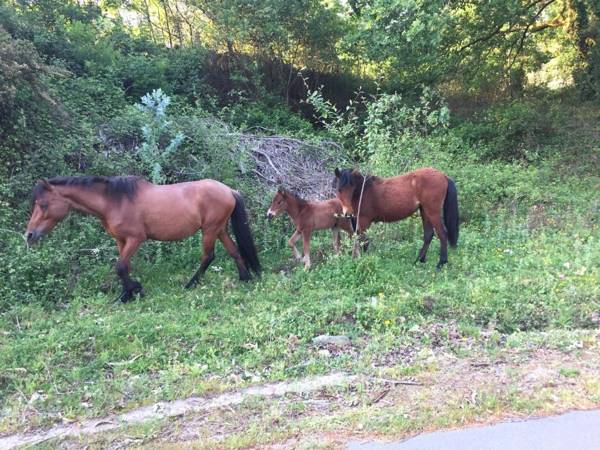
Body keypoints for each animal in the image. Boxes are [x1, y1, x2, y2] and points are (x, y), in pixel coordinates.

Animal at [26, 176, 260, 302]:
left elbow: (120, 266)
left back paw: (190, 284)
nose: (29, 235)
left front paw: (133, 291)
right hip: (219, 228)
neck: (114, 201)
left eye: (43, 204)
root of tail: (228, 190)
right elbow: (124, 267)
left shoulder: (135, 239)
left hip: (210, 230)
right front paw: (127, 293)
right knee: (234, 251)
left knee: (208, 256)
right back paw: (245, 277)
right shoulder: (121, 241)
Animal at [332, 167, 460, 268]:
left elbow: (364, 242)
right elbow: (358, 239)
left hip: (432, 212)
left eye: (352, 188)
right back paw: (418, 261)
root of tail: (444, 176)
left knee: (442, 234)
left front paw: (364, 260)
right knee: (428, 235)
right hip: (424, 211)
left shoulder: (364, 221)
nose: (348, 213)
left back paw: (441, 263)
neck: (364, 190)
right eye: (339, 189)